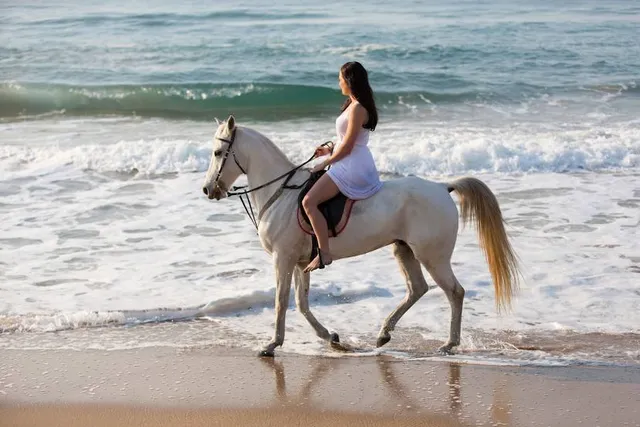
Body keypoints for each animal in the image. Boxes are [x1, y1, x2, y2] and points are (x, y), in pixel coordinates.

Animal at [202, 115, 521, 357]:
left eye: (217, 153)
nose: (207, 190)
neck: (281, 193)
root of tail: (443, 187)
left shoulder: (283, 259)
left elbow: (281, 301)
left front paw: (271, 345)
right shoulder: (300, 262)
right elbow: (302, 304)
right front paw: (331, 338)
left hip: (432, 256)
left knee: (454, 292)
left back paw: (449, 344)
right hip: (403, 249)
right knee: (417, 289)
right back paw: (383, 334)